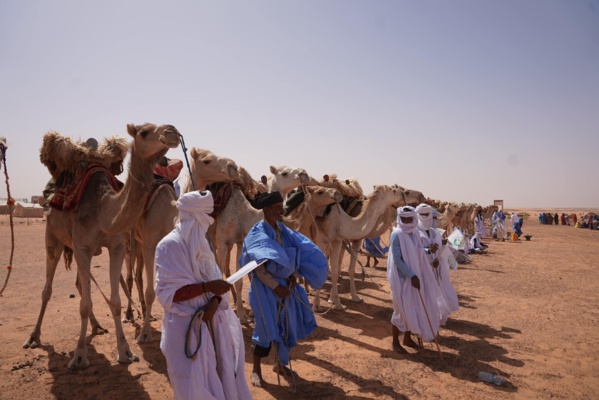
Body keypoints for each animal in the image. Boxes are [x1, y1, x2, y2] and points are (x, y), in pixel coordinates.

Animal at [25, 123, 180, 370]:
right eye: (144, 132)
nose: (172, 130)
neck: (103, 208)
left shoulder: (116, 247)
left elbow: (114, 301)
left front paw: (125, 351)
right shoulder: (87, 247)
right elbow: (86, 304)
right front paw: (79, 355)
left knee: (83, 283)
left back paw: (98, 326)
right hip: (54, 239)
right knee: (47, 289)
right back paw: (33, 337)